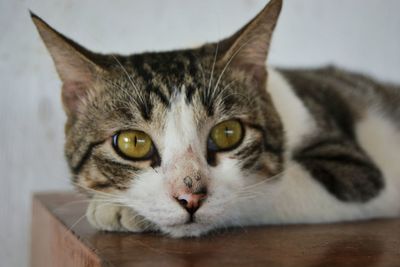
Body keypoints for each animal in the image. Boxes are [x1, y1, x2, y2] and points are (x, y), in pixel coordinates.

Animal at [32, 0, 400, 239]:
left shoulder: (358, 174)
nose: (190, 197)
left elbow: (254, 192)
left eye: (228, 133)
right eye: (133, 142)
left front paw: (118, 209)